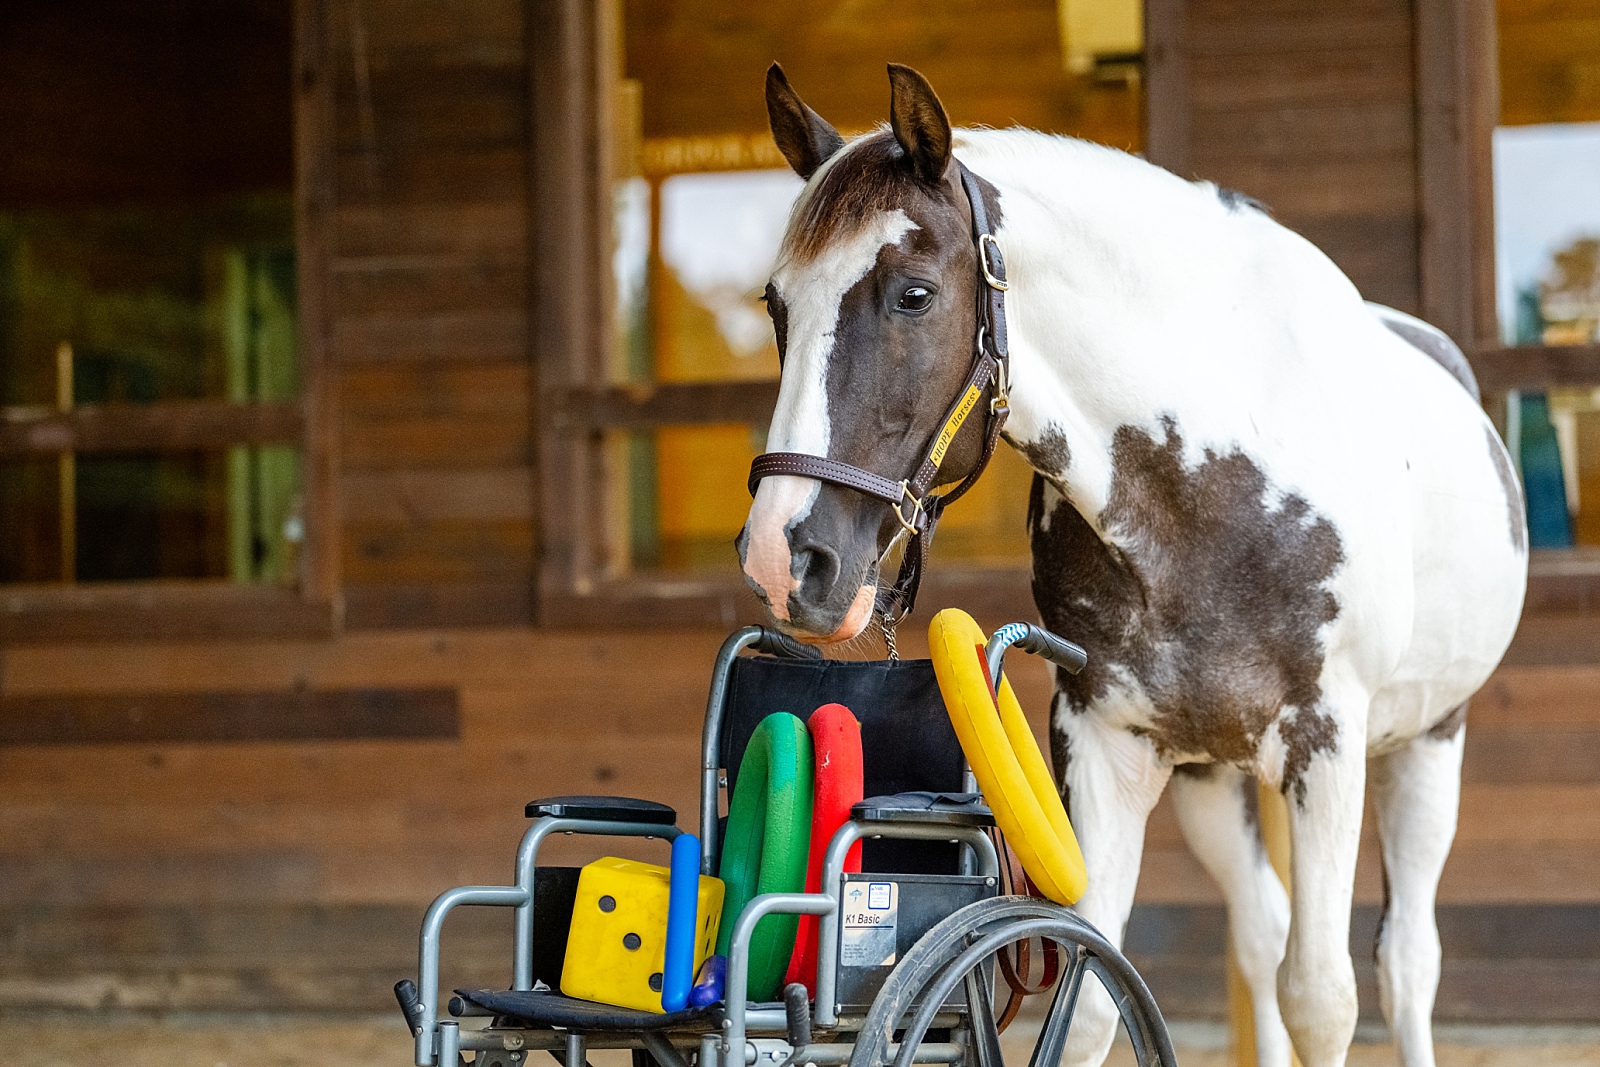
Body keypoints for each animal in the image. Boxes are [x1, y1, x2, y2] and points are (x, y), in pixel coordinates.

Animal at [732, 66, 1523, 1067]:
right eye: (776, 304)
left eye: (913, 294)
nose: (782, 555)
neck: (1222, 465)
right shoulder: (1105, 737)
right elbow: (1089, 991)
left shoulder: (1328, 741)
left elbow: (1322, 998)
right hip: (1213, 776)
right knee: (1261, 930)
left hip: (1426, 744)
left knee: (1407, 961)